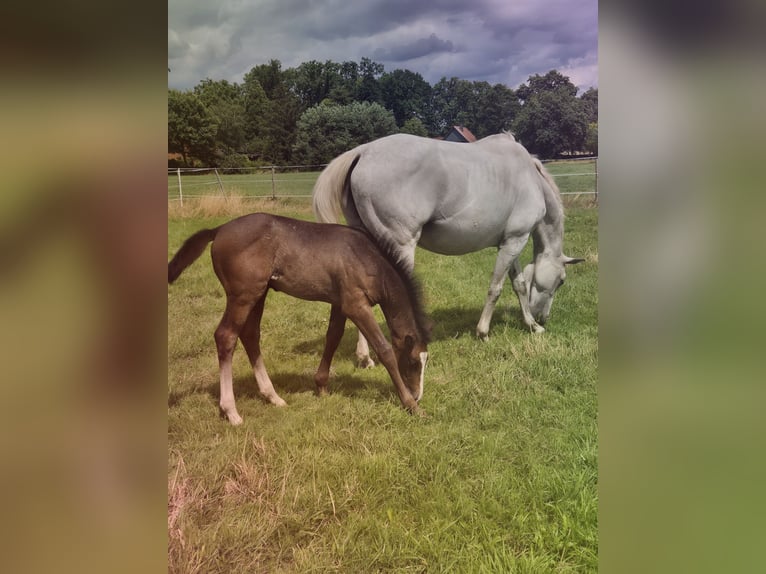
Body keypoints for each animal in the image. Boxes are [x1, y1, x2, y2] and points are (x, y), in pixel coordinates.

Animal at [169, 214, 432, 426]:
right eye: (413, 363)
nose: (417, 394)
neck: (366, 259)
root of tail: (219, 229)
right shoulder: (356, 305)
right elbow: (384, 349)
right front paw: (411, 406)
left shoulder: (339, 303)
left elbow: (332, 338)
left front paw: (322, 387)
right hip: (242, 296)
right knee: (226, 336)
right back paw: (231, 411)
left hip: (259, 293)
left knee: (250, 335)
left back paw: (273, 396)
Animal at [312, 133, 584, 368]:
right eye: (561, 281)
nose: (542, 317)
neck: (531, 179)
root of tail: (363, 152)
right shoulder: (516, 240)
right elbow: (496, 289)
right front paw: (484, 332)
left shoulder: (509, 243)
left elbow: (518, 285)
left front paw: (532, 326)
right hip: (401, 246)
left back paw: (365, 356)